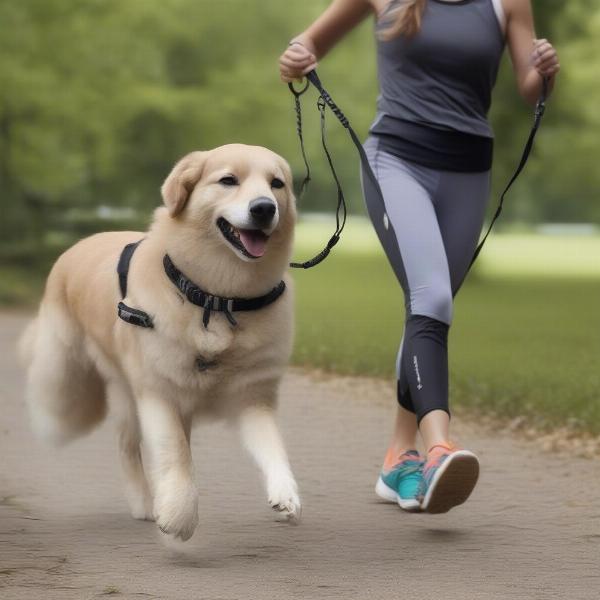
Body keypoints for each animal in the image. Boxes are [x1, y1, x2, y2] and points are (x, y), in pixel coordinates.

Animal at [21, 143, 302, 540]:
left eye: (277, 184)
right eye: (228, 180)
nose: (264, 208)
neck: (217, 298)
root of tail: (79, 245)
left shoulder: (252, 397)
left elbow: (273, 447)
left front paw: (285, 494)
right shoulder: (158, 391)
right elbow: (175, 453)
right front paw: (179, 516)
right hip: (77, 378)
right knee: (101, 430)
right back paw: (143, 501)